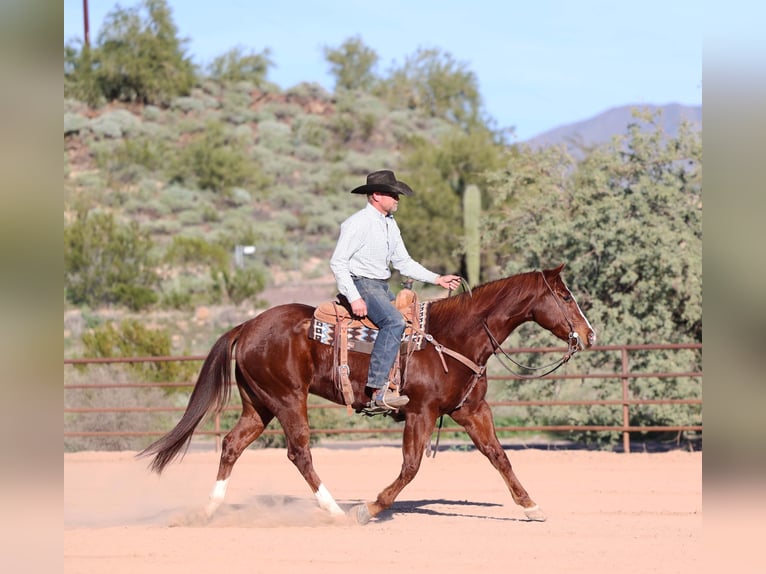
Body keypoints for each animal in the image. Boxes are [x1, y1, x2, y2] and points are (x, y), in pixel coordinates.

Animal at [138, 264, 595, 524]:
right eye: (566, 295)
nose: (589, 334)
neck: (453, 337)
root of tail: (247, 325)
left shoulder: (471, 410)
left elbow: (499, 456)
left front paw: (531, 506)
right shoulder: (421, 412)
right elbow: (411, 467)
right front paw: (369, 508)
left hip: (259, 405)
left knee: (232, 445)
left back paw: (208, 511)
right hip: (288, 399)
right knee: (299, 452)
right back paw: (335, 510)